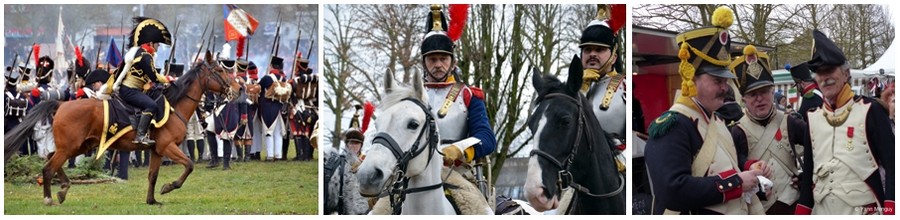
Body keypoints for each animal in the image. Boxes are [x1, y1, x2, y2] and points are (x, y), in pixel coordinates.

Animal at [3, 52, 241, 205]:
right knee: (48, 167)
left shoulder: (157, 150)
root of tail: (62, 104)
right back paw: (50, 197)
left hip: (78, 147)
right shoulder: (168, 147)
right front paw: (168, 187)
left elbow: (153, 175)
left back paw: (63, 189)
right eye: (218, 70)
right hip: (70, 147)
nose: (238, 89)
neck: (174, 106)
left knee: (51, 158)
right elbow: (189, 165)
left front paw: (152, 200)